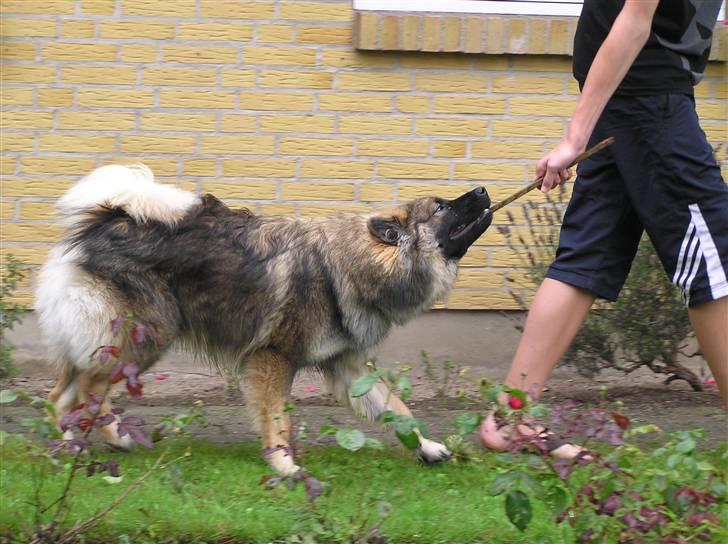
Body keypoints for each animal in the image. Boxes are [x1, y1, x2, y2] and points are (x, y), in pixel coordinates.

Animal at [34, 164, 492, 474]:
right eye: (440, 206)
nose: (484, 188)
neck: (349, 266)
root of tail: (105, 217)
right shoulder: (272, 358)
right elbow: (277, 417)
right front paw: (284, 465)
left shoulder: (348, 368)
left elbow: (398, 409)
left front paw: (427, 446)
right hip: (149, 336)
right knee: (90, 390)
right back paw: (110, 439)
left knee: (61, 395)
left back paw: (69, 446)